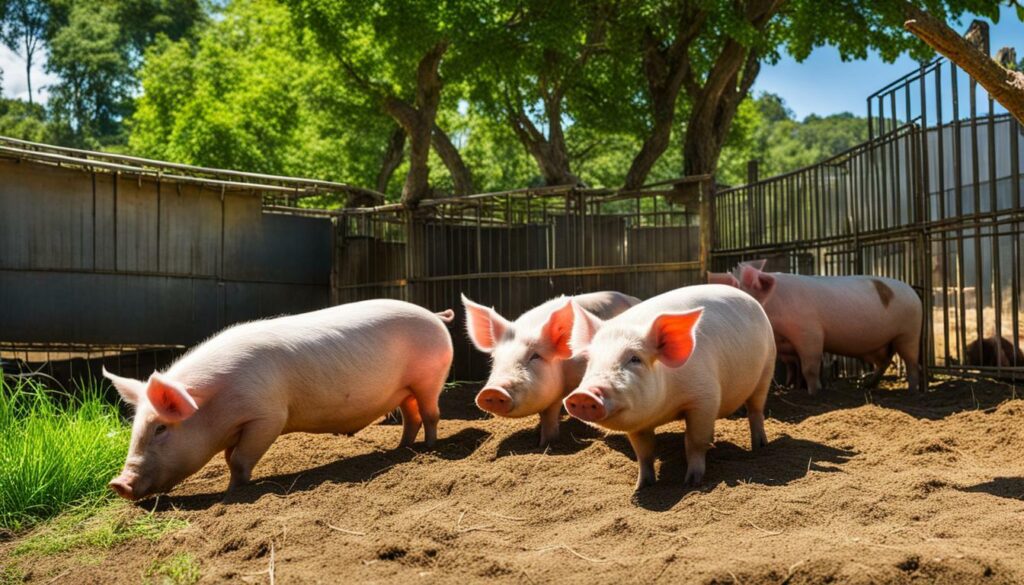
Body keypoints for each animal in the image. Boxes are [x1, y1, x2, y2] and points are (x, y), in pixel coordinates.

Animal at [102, 299, 454, 501]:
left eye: (161, 428)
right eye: (136, 428)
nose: (118, 484)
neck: (217, 406)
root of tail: (434, 315)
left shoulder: (267, 416)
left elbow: (238, 460)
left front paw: (232, 493)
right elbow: (230, 457)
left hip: (429, 377)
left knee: (431, 414)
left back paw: (428, 449)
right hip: (405, 389)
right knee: (411, 416)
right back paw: (401, 449)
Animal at [563, 284, 776, 489]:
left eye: (635, 359)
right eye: (590, 362)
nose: (583, 395)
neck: (665, 409)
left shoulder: (705, 398)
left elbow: (694, 442)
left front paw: (691, 482)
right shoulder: (637, 423)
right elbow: (644, 452)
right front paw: (642, 486)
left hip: (767, 369)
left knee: (755, 411)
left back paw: (760, 446)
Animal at [730, 260, 922, 395]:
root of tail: (913, 291)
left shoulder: (810, 332)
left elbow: (810, 367)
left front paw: (814, 392)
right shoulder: (785, 346)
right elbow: (793, 369)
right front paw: (792, 387)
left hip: (909, 332)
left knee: (912, 363)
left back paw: (912, 391)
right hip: (880, 345)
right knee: (885, 361)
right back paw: (866, 385)